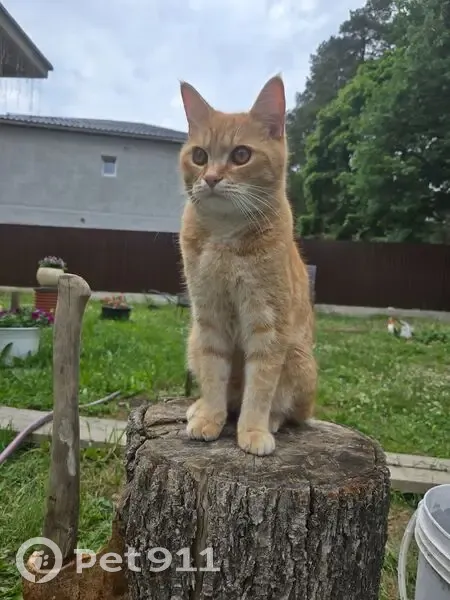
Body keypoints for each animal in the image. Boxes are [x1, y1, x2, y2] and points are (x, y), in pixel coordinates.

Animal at [178, 74, 317, 456]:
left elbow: (261, 385)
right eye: (199, 155)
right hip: (192, 339)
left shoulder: (267, 323)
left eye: (241, 155)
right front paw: (209, 417)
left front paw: (253, 430)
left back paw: (270, 421)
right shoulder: (209, 318)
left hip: (299, 361)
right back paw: (200, 408)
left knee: (291, 412)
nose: (210, 177)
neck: (225, 237)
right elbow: (214, 374)